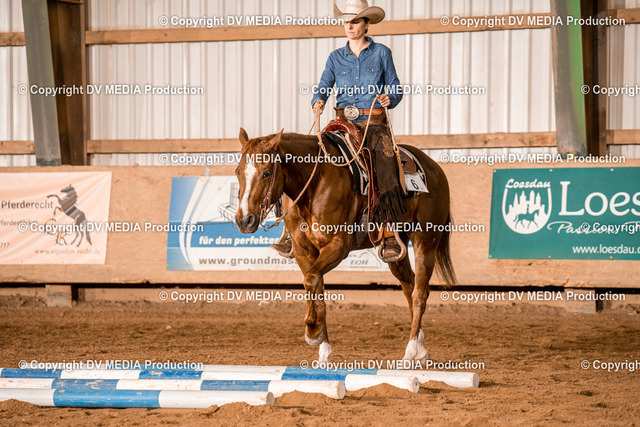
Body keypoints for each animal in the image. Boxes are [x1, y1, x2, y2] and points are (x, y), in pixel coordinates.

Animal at [234, 128, 456, 364]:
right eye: (237, 172)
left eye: (266, 173)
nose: (244, 220)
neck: (314, 184)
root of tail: (435, 168)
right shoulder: (304, 250)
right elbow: (315, 285)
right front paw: (323, 349)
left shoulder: (338, 246)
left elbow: (311, 280)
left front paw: (312, 330)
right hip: (397, 251)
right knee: (409, 286)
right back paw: (421, 348)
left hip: (426, 240)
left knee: (420, 293)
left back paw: (411, 350)